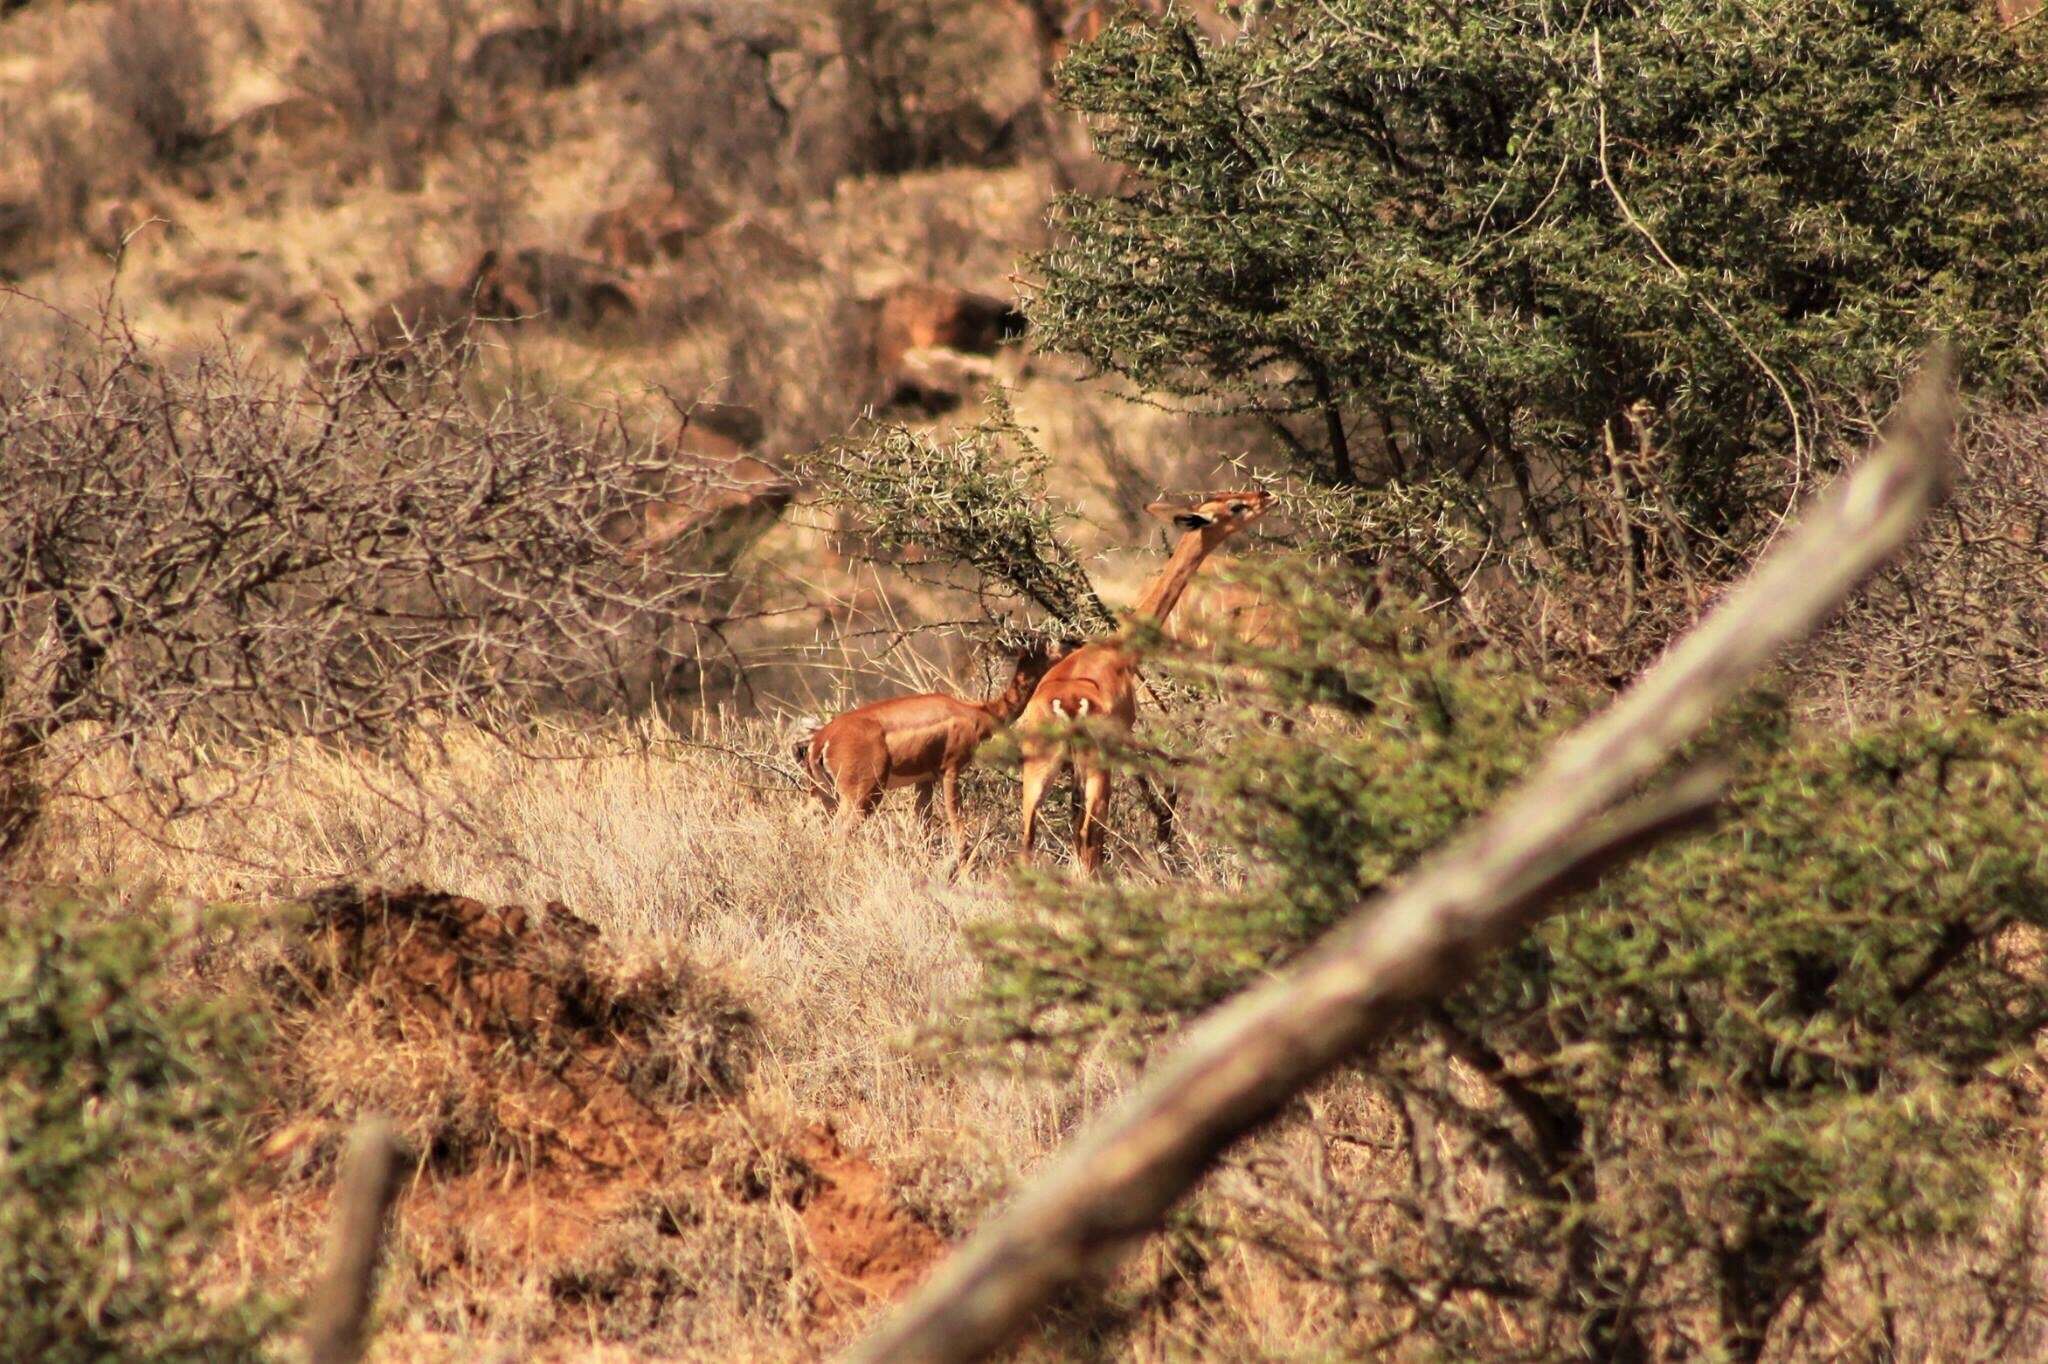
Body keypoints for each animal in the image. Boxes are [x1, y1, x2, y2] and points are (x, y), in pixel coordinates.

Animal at [794, 634, 1073, 851]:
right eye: (1050, 641)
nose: (1076, 643)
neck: (979, 712)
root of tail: (821, 739)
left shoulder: (924, 780)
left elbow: (923, 834)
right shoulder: (950, 771)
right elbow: (960, 837)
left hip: (821, 795)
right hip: (861, 796)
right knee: (838, 835)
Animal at [1015, 485, 1269, 872]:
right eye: (1235, 506)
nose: (1266, 494)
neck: (1118, 651)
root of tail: (1067, 703)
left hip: (1042, 765)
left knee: (1030, 837)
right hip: (1095, 765)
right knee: (1090, 835)